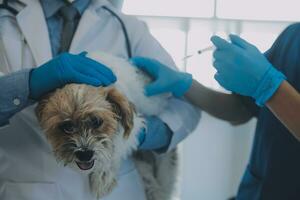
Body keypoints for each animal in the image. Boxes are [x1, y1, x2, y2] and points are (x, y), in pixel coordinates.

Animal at [36, 52, 179, 199]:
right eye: (67, 126)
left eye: (97, 121)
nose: (85, 154)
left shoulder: (135, 127)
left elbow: (116, 148)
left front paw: (103, 175)